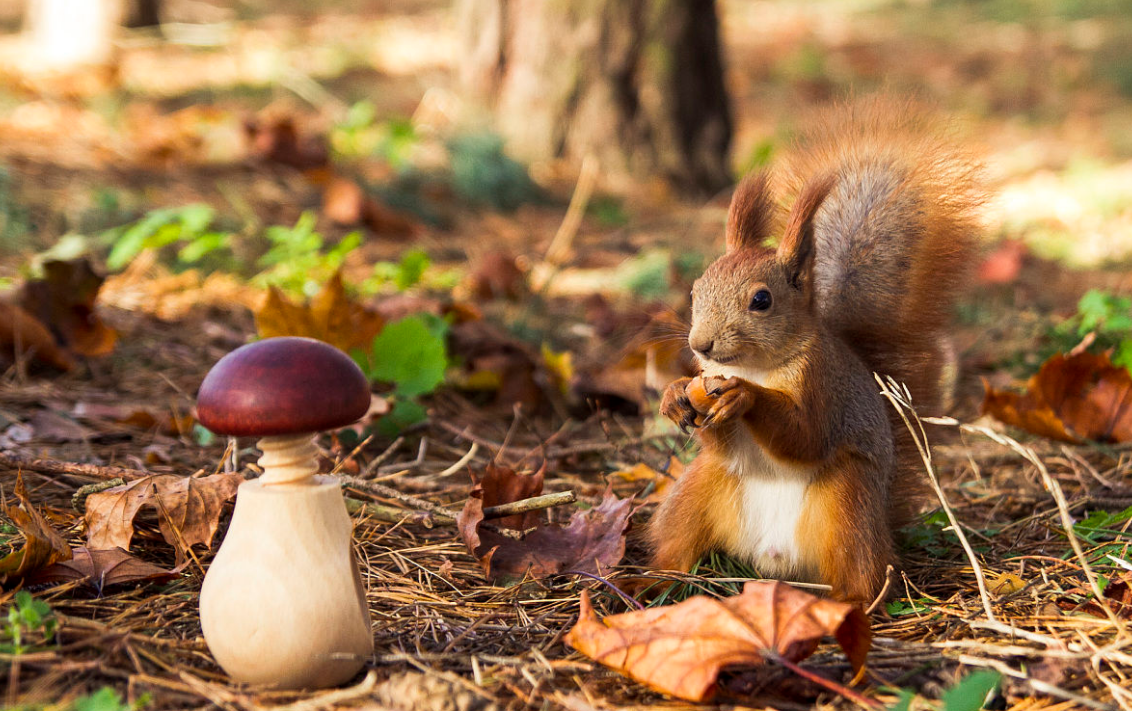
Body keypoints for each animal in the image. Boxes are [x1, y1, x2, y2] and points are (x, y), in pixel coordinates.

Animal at [652, 97, 987, 602]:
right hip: (698, 489)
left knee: (865, 572)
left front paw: (745, 398)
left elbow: (806, 436)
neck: (757, 367)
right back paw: (646, 582)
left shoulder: (822, 382)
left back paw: (850, 605)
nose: (699, 344)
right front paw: (675, 393)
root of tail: (774, 562)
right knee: (676, 541)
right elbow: (716, 435)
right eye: (694, 290)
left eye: (762, 300)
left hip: (847, 501)